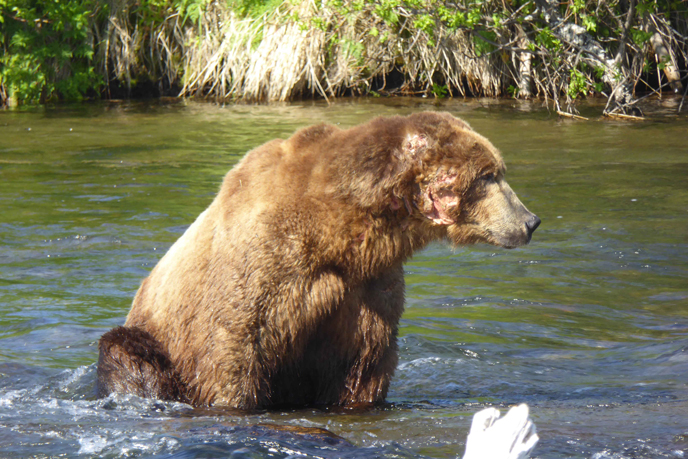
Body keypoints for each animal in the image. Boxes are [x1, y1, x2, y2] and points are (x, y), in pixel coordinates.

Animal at [97, 111, 540, 410]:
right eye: (488, 175)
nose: (530, 220)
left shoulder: (368, 287)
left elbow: (364, 365)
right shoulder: (263, 267)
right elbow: (231, 351)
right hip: (151, 337)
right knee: (125, 353)